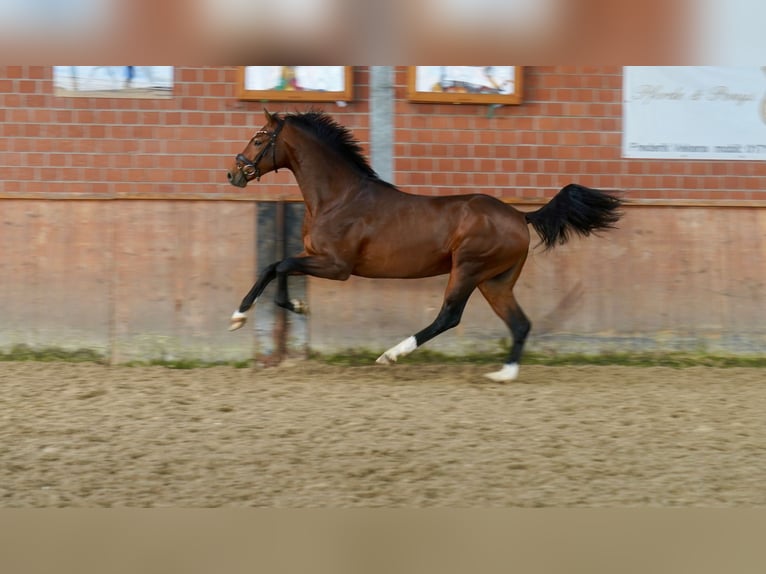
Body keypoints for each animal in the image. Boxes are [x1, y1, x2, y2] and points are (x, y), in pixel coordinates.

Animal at [226, 111, 624, 382]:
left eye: (259, 139)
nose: (233, 173)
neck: (339, 198)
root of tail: (520, 216)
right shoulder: (315, 257)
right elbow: (272, 266)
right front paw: (243, 315)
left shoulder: (336, 266)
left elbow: (279, 266)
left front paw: (289, 308)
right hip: (495, 281)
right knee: (520, 323)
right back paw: (504, 374)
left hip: (468, 269)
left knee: (449, 316)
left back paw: (392, 354)